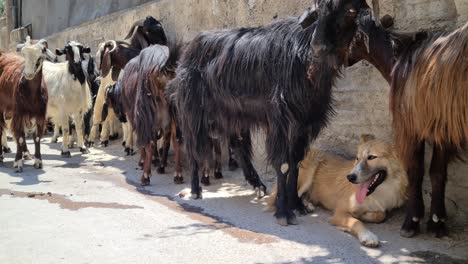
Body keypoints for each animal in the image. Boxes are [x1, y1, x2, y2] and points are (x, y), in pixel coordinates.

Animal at [268, 135, 408, 246]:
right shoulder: (340, 212)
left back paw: (307, 205)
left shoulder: (381, 208)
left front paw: (364, 215)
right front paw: (367, 235)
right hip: (310, 166)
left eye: (372, 157)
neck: (378, 191)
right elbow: (355, 221)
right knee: (279, 198)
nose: (350, 177)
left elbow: (380, 215)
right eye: (357, 158)